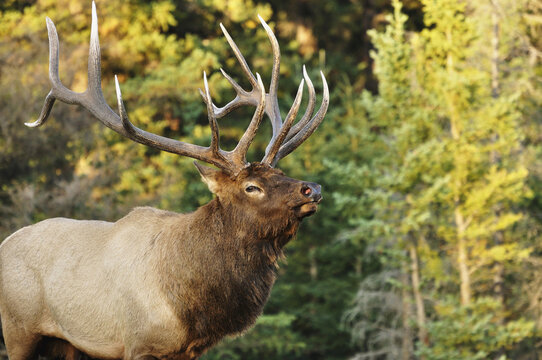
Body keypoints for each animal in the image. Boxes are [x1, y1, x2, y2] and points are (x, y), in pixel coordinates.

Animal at [0, 2, 330, 360]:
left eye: (280, 174)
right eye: (251, 187)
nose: (312, 188)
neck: (189, 308)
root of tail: (4, 243)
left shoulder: (189, 351)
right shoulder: (138, 342)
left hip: (68, 345)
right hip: (18, 328)